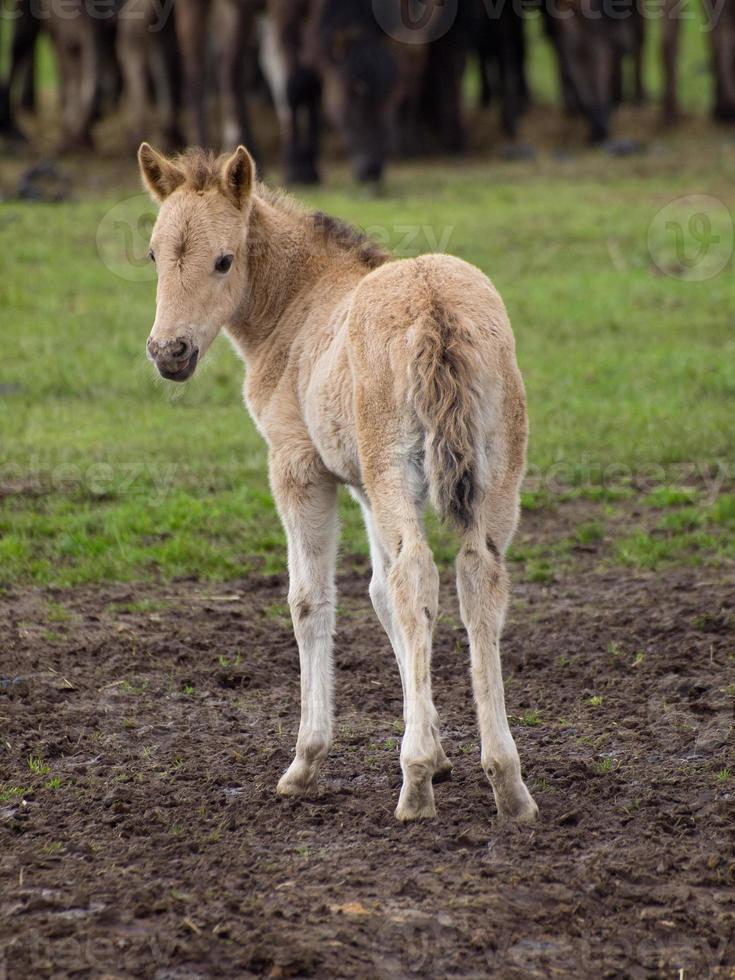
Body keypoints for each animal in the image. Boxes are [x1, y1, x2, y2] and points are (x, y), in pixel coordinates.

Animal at [139, 142, 540, 824]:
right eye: (153, 254)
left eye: (224, 259)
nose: (170, 352)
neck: (299, 306)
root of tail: (435, 309)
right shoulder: (363, 487)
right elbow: (382, 596)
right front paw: (439, 750)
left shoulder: (299, 468)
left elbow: (310, 600)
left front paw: (308, 761)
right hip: (488, 474)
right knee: (475, 578)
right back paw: (508, 785)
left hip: (393, 470)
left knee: (419, 573)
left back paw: (414, 788)